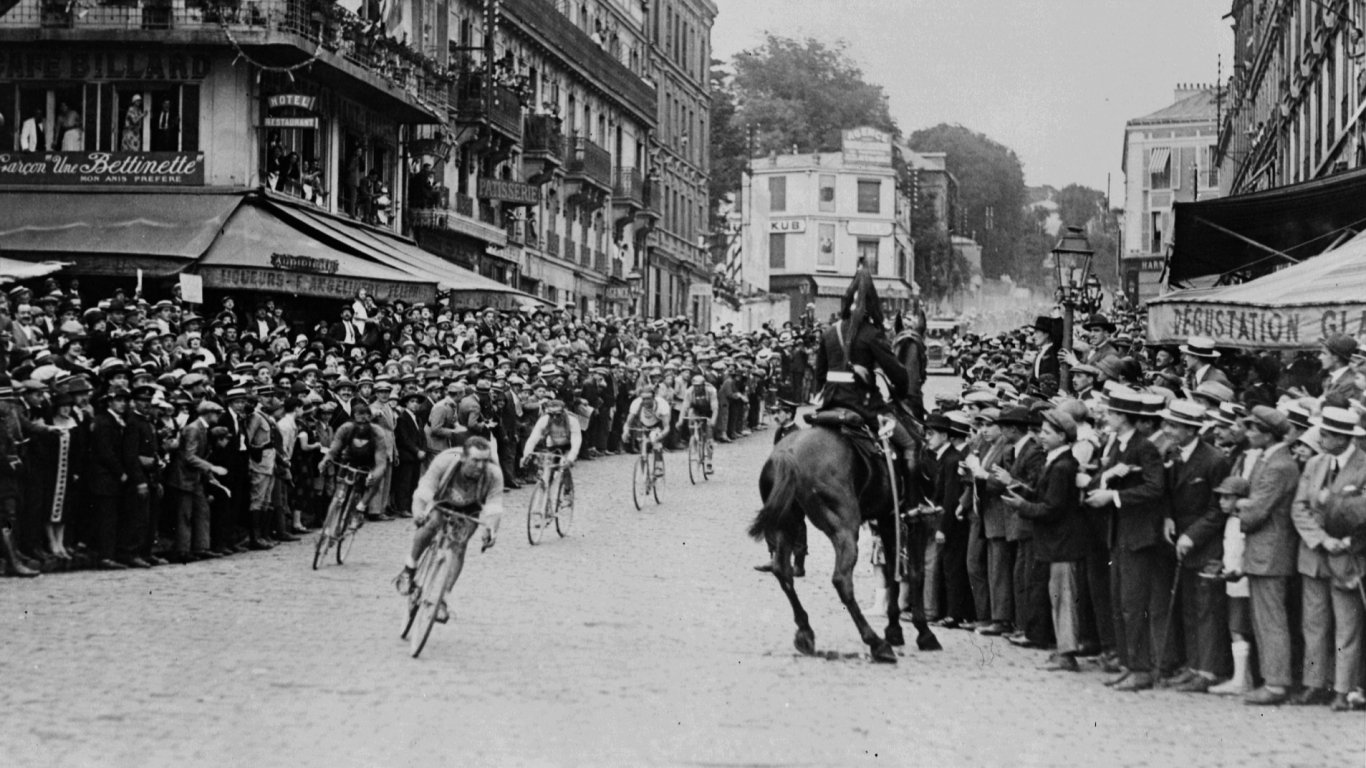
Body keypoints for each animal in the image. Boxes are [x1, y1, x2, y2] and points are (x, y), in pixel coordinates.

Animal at [748, 420, 939, 661]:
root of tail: (787, 453)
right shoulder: (917, 522)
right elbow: (916, 573)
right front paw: (924, 633)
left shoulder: (887, 519)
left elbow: (893, 573)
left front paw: (894, 629)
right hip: (845, 529)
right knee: (841, 580)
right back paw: (876, 643)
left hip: (786, 525)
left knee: (783, 572)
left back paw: (805, 632)